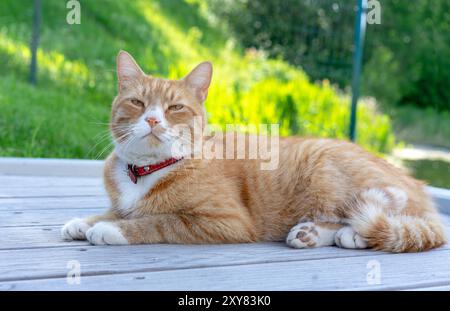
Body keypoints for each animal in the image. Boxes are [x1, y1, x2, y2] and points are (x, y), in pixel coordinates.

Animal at [60, 50, 446, 254]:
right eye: (138, 103)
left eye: (175, 108)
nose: (153, 119)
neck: (146, 171)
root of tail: (419, 186)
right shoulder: (122, 202)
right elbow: (113, 211)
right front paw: (84, 221)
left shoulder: (225, 221)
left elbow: (156, 221)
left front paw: (112, 230)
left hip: (323, 164)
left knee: (379, 209)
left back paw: (338, 232)